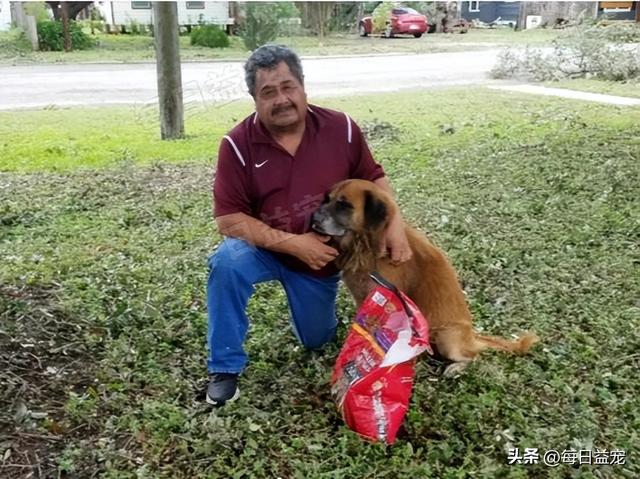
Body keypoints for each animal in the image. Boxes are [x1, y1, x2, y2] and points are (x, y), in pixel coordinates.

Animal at [312, 179, 536, 376]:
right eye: (328, 199)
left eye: (343, 205)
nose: (313, 217)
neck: (364, 246)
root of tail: (472, 336)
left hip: (447, 338)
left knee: (474, 357)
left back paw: (455, 368)